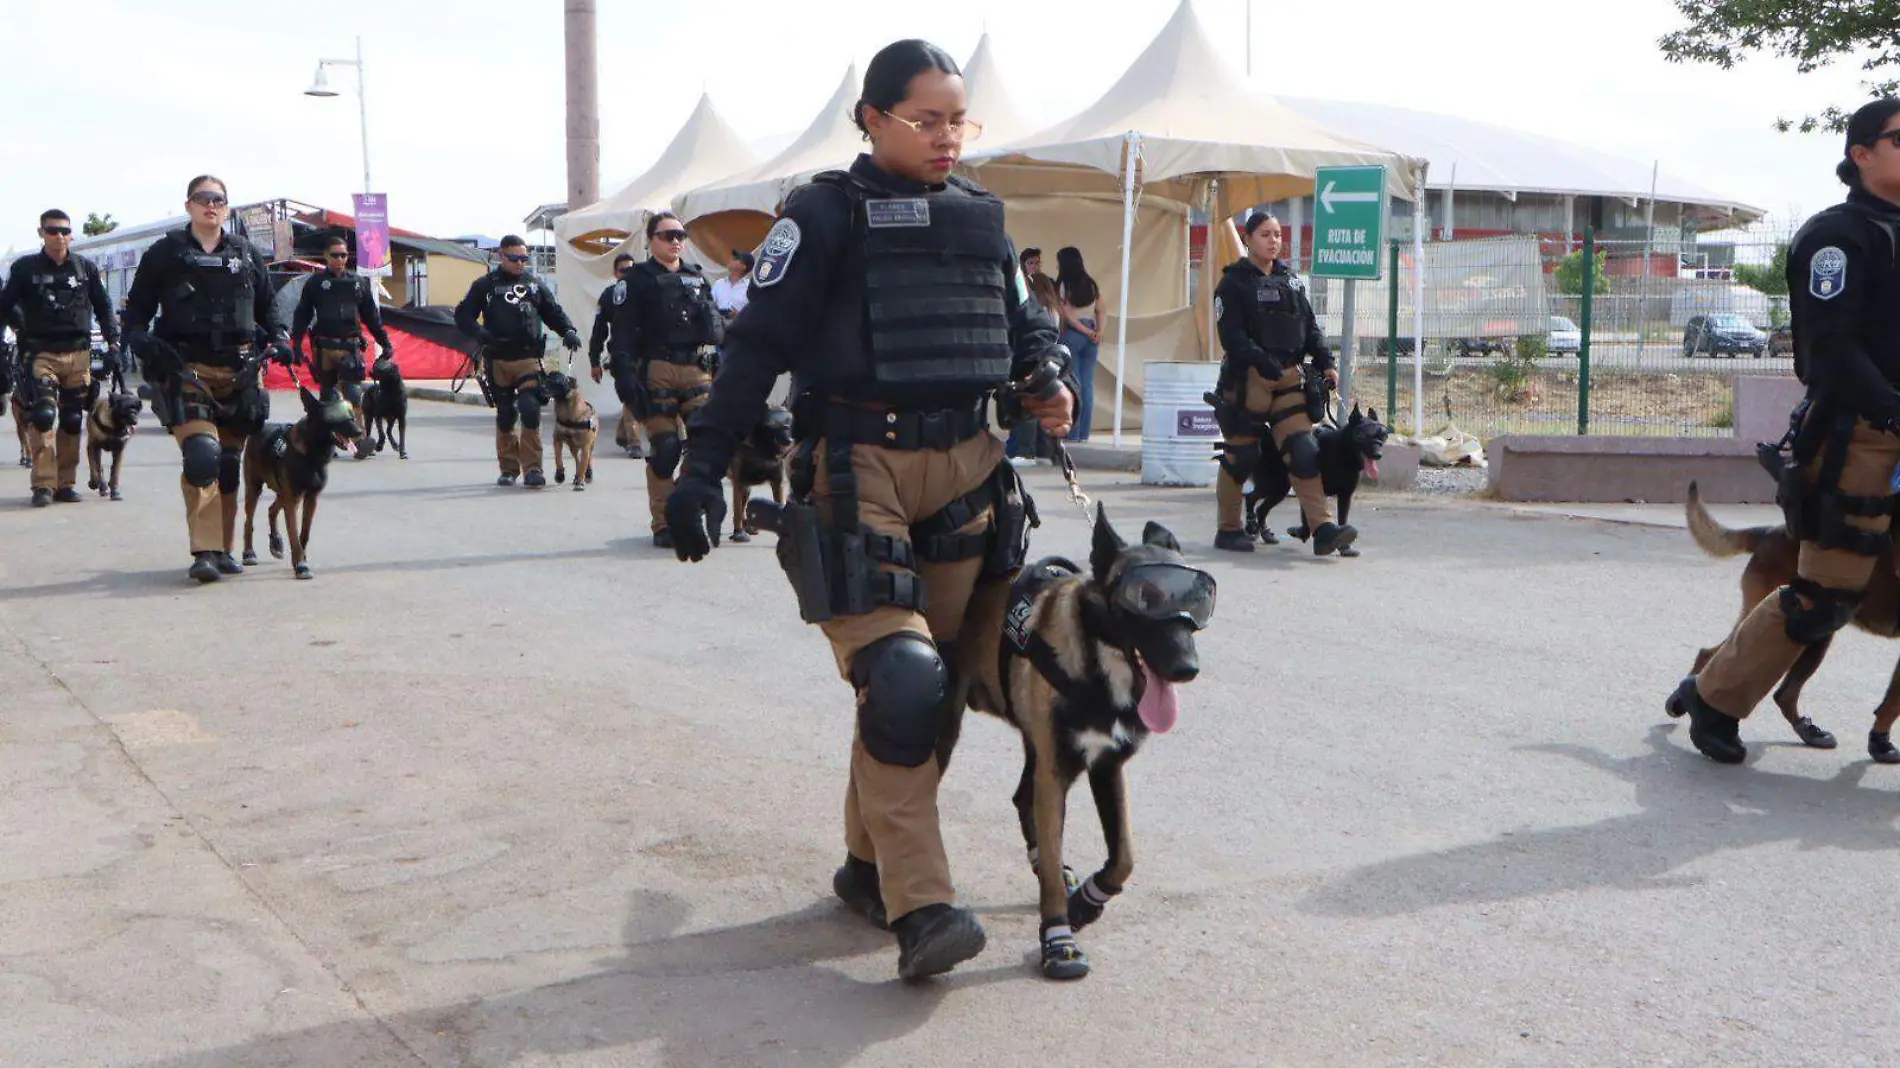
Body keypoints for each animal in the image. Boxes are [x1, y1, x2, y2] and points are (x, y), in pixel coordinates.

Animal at [241, 385, 362, 577]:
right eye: (333, 417)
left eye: (351, 415)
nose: (359, 432)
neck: (312, 454)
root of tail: (261, 428)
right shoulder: (294, 500)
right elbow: (294, 533)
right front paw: (300, 565)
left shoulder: (310, 498)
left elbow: (304, 534)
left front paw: (301, 559)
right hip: (255, 489)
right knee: (248, 522)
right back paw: (249, 552)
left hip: (283, 494)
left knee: (271, 510)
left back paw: (275, 542)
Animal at [722, 404, 790, 543]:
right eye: (772, 423)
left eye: (788, 421)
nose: (789, 440)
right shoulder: (738, 481)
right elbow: (737, 509)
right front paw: (739, 533)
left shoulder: (777, 482)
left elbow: (780, 504)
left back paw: (749, 526)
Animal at [950, 501, 1216, 980]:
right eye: (1143, 598)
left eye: (1195, 602)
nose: (1187, 668)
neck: (1099, 665)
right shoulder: (1058, 772)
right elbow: (1057, 874)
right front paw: (1059, 939)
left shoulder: (1106, 767)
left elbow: (1124, 857)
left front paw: (1088, 904)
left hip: (1040, 751)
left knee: (1022, 797)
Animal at [1246, 402, 1398, 551]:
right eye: (1365, 436)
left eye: (1383, 436)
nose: (1378, 455)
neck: (1342, 453)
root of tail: (1265, 434)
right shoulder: (1313, 489)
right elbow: (1307, 518)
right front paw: (1303, 532)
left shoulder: (1345, 496)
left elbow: (1342, 519)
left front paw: (1344, 547)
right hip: (1273, 484)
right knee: (1250, 498)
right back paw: (1251, 526)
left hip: (1279, 489)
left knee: (1261, 510)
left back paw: (1265, 534)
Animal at [1679, 478, 1900, 760]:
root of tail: (1769, 531)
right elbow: (1893, 702)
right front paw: (1880, 744)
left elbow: (1892, 701)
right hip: (1791, 622)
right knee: (1716, 656)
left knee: (1782, 693)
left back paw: (1809, 732)